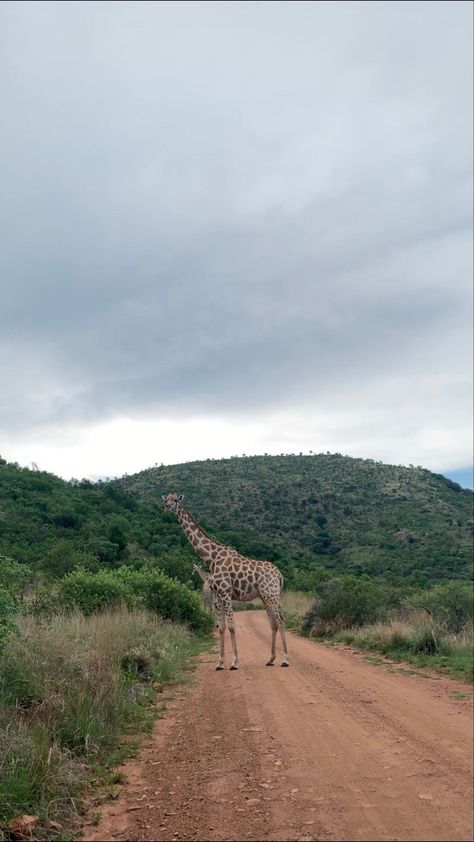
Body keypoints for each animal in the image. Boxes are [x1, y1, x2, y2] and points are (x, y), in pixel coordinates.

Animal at [163, 492, 288, 668]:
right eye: (166, 499)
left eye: (175, 500)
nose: (166, 507)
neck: (211, 558)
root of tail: (279, 575)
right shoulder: (219, 595)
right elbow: (221, 627)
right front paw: (220, 663)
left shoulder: (225, 593)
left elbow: (232, 626)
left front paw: (234, 662)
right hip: (265, 596)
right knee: (273, 623)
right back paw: (270, 659)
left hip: (271, 595)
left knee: (280, 620)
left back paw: (285, 659)